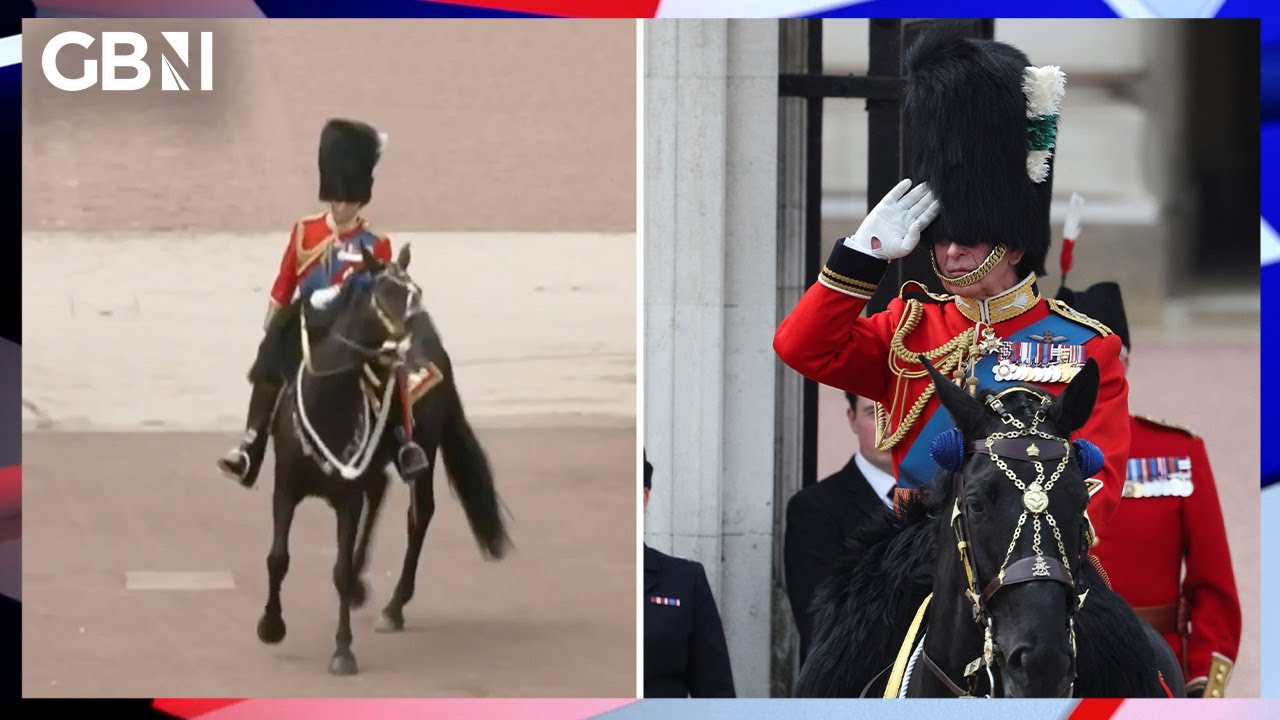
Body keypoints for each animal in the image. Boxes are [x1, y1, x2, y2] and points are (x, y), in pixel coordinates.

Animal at [249, 244, 509, 671]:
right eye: (381, 293)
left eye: (414, 289)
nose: (404, 343)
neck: (329, 402)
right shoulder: (285, 488)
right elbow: (277, 558)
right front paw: (271, 624)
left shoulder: (347, 498)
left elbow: (338, 569)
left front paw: (342, 650)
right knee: (382, 491)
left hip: (424, 450)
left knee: (418, 515)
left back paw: (393, 606)